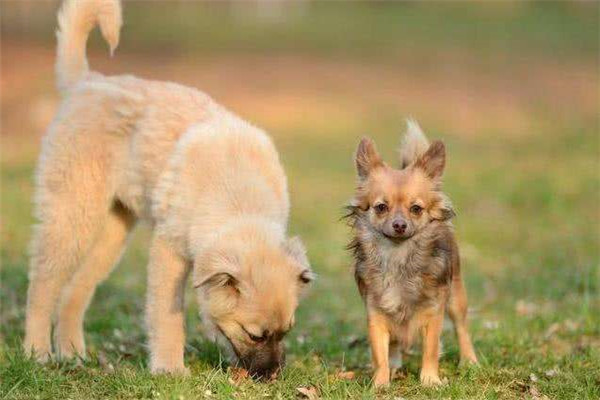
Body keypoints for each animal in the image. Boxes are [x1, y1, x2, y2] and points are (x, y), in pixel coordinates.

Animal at [23, 0, 314, 378]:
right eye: (255, 334)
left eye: (286, 331)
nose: (272, 378)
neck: (238, 201)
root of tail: (87, 83)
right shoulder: (168, 250)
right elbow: (167, 315)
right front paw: (169, 368)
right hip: (72, 216)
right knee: (42, 284)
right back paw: (37, 352)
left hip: (110, 236)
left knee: (76, 289)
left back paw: (72, 352)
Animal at [346, 120, 478, 386]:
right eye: (381, 207)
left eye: (416, 209)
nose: (399, 225)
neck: (399, 257)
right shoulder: (376, 313)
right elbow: (379, 352)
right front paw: (380, 382)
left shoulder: (433, 312)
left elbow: (430, 348)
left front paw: (429, 380)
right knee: (395, 343)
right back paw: (396, 363)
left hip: (456, 296)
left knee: (461, 326)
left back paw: (469, 361)